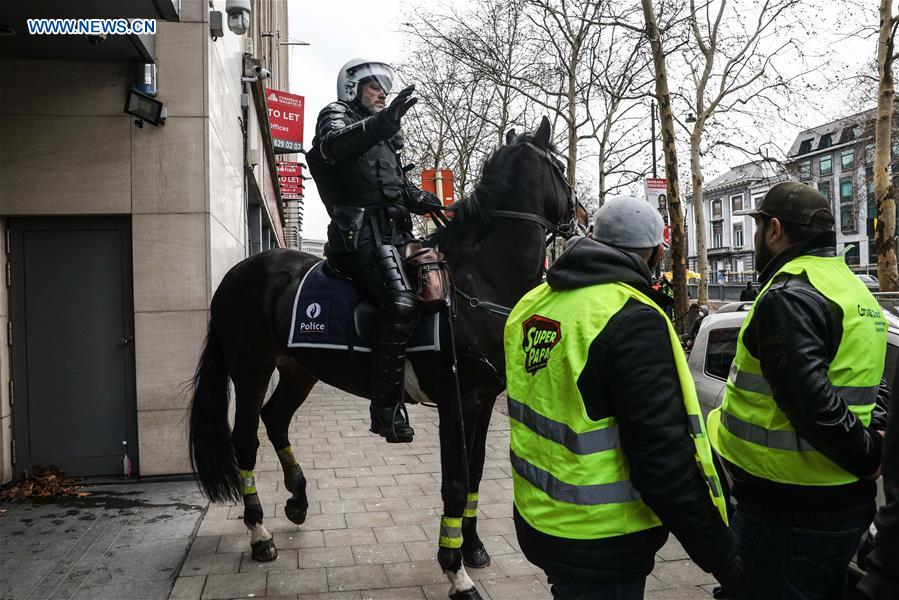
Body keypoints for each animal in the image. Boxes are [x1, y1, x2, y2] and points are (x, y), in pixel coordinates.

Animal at [188, 115, 576, 596]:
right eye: (560, 167)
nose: (581, 213)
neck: (478, 281)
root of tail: (236, 273)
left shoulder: (485, 400)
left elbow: (476, 471)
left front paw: (472, 548)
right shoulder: (457, 400)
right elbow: (455, 478)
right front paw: (456, 571)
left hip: (299, 368)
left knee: (275, 418)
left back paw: (297, 499)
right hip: (251, 368)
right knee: (245, 439)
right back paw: (259, 534)